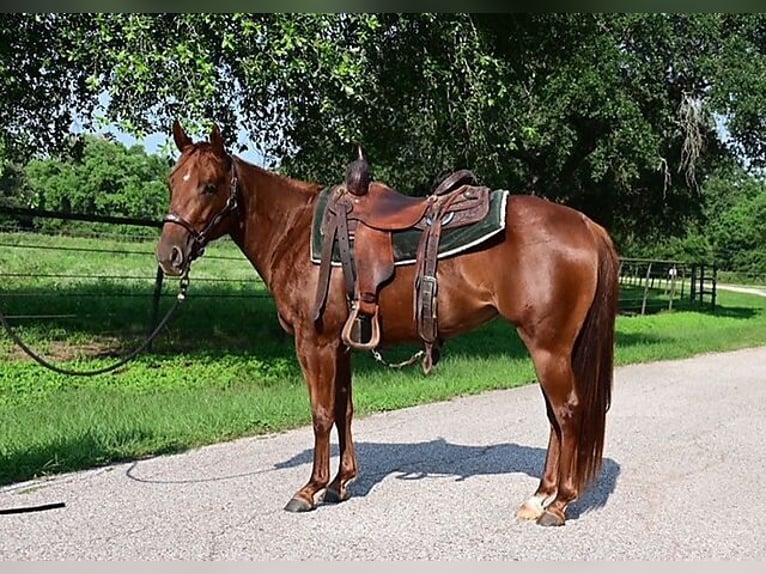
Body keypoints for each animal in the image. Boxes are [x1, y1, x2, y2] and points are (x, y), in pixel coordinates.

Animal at [159, 124, 620, 528]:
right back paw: (539, 496)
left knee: (568, 411)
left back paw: (559, 503)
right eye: (171, 181)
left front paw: (310, 489)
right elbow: (343, 409)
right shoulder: (340, 345)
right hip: (547, 348)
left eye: (210, 186)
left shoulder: (314, 343)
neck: (295, 230)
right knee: (555, 416)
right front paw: (341, 483)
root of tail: (586, 224)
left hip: (548, 348)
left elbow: (321, 413)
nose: (169, 254)